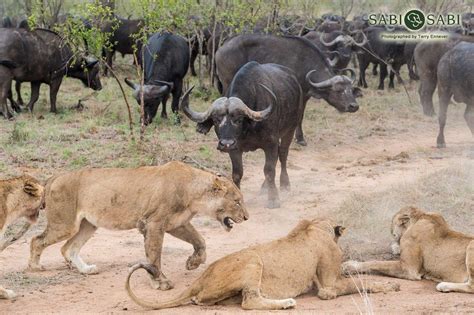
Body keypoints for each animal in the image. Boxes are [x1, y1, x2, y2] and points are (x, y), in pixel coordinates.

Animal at [27, 163, 248, 292]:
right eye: (237, 201)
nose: (246, 217)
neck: (194, 194)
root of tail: (55, 177)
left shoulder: (177, 224)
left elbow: (200, 241)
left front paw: (193, 263)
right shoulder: (153, 223)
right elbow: (154, 256)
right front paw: (160, 283)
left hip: (87, 225)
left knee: (68, 248)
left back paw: (86, 270)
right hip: (64, 224)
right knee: (37, 240)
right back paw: (35, 266)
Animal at [126, 218, 400, 312]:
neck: (316, 225)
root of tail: (198, 280)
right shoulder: (328, 287)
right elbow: (360, 283)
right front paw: (389, 288)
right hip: (252, 260)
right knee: (249, 302)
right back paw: (286, 303)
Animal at [181, 61, 304, 210]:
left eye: (239, 120)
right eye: (215, 120)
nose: (226, 143)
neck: (248, 128)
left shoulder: (271, 143)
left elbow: (269, 170)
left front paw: (273, 199)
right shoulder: (235, 149)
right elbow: (237, 173)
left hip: (290, 130)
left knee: (283, 155)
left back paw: (285, 184)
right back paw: (264, 187)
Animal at [213, 34, 362, 147]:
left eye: (350, 89)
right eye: (338, 90)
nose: (354, 106)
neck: (306, 64)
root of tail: (220, 49)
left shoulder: (305, 96)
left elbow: (301, 116)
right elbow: (298, 116)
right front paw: (300, 138)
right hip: (227, 83)